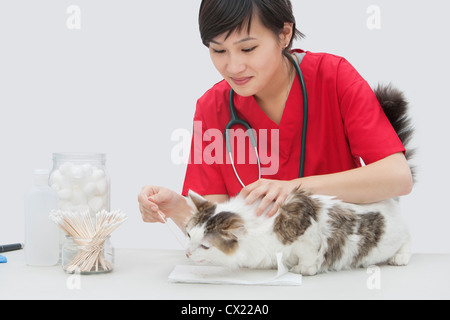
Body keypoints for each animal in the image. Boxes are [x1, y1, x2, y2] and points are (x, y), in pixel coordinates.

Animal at [184, 84, 414, 276]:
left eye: (205, 245)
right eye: (188, 236)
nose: (187, 254)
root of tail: (391, 200)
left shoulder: (308, 227)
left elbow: (310, 253)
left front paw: (303, 268)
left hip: (396, 235)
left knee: (406, 240)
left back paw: (400, 257)